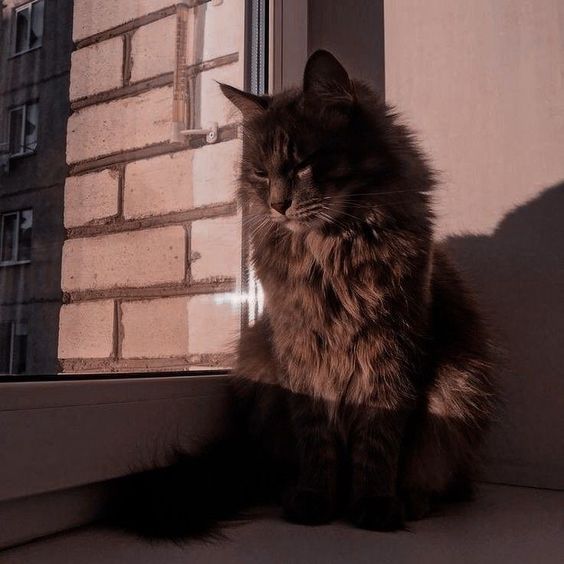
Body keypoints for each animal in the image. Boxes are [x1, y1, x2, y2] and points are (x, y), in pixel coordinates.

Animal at [111, 48, 498, 536]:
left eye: (301, 164)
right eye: (260, 173)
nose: (278, 205)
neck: (332, 254)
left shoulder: (394, 352)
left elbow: (379, 441)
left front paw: (375, 505)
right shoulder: (300, 354)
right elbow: (317, 441)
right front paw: (315, 501)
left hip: (461, 386)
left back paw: (412, 501)